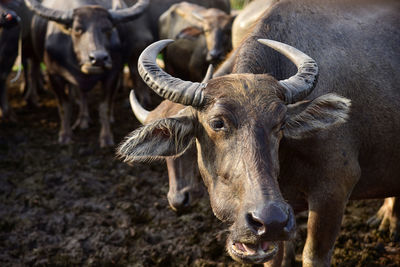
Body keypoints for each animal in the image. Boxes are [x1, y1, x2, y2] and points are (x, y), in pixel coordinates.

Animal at [25, 0, 150, 147]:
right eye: (77, 29)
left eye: (107, 29)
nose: (99, 58)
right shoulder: (53, 75)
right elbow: (64, 107)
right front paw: (65, 135)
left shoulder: (112, 74)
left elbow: (105, 107)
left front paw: (106, 137)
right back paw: (81, 119)